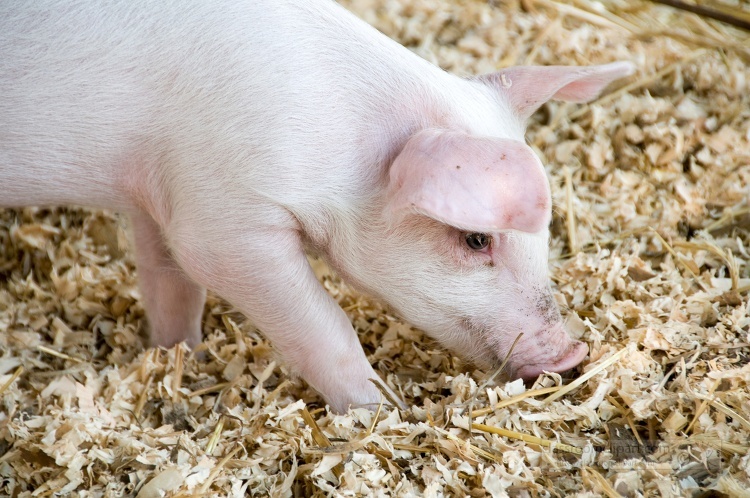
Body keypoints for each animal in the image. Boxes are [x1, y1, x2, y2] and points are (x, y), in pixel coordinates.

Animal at [0, 0, 636, 412]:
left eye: (544, 236)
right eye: (476, 238)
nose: (573, 353)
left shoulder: (161, 193)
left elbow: (170, 283)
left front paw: (181, 357)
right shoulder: (222, 224)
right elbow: (319, 322)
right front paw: (381, 413)